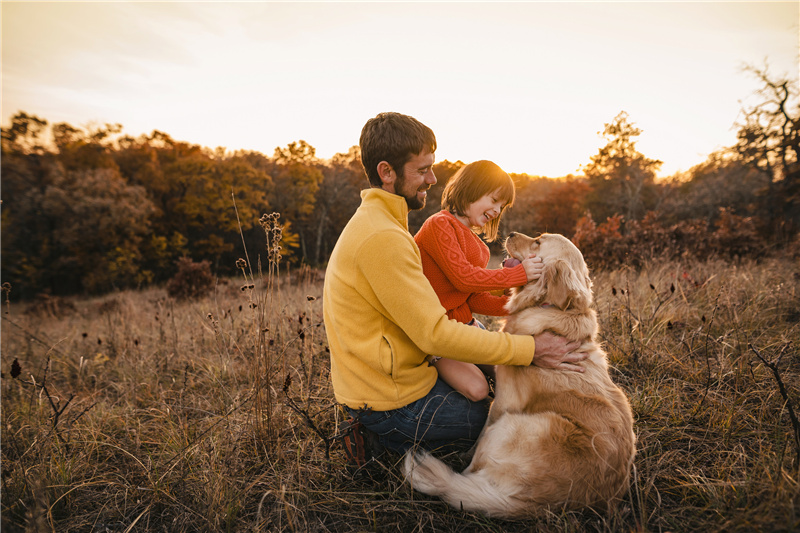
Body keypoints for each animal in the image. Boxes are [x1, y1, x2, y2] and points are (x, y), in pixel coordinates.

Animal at [406, 231, 636, 516]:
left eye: (538, 242)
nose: (511, 233)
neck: (550, 307)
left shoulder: (504, 401)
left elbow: (480, 435)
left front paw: (465, 454)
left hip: (509, 426)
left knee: (471, 470)